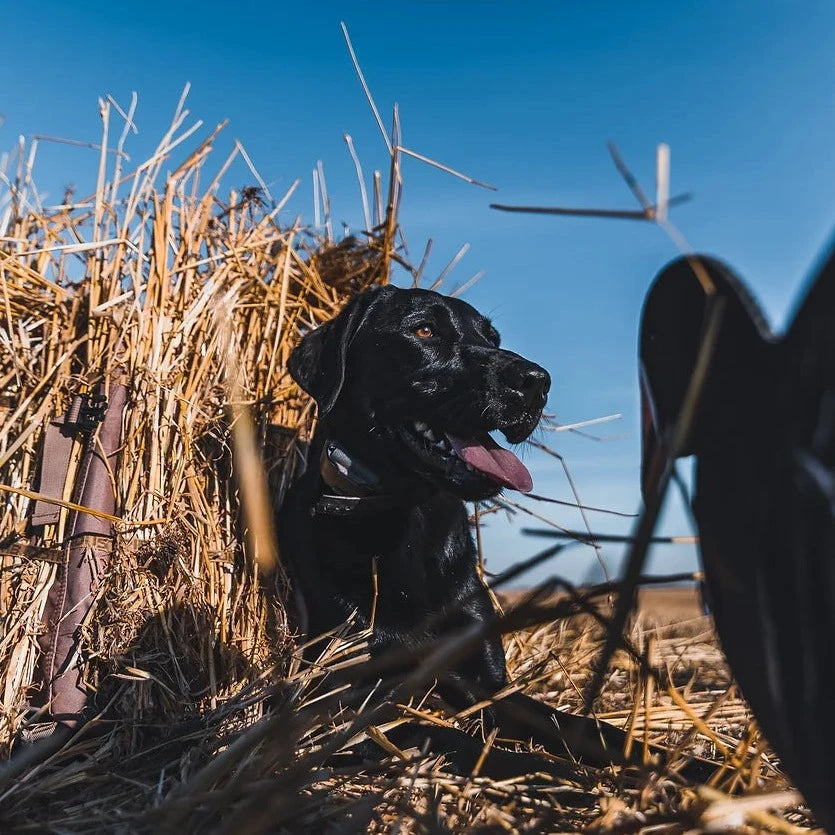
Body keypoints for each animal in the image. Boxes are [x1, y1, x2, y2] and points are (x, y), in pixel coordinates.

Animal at [280, 284, 704, 780]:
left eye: (493, 338)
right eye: (425, 330)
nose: (537, 382)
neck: (410, 523)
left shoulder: (489, 685)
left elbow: (586, 728)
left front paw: (702, 769)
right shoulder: (351, 704)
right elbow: (448, 738)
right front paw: (558, 776)